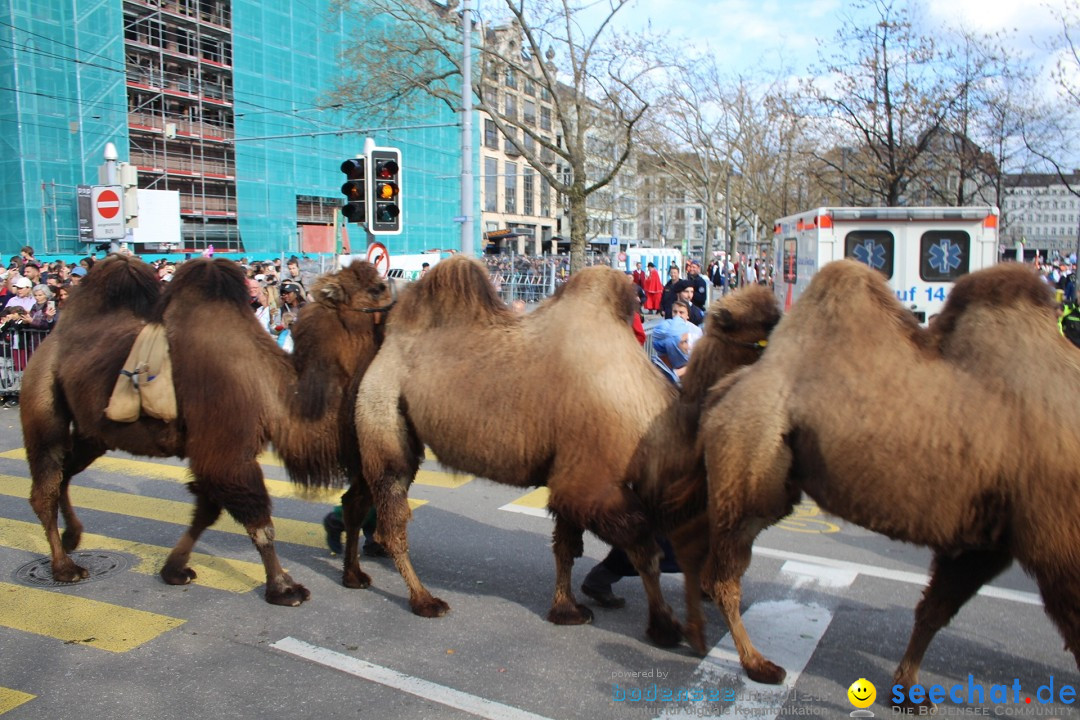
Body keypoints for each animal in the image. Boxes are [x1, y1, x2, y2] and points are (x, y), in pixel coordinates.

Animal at [23, 255, 393, 604]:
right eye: (377, 288)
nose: (396, 303)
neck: (274, 389)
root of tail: (50, 339)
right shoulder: (228, 450)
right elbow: (260, 522)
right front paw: (284, 588)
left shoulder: (215, 454)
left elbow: (205, 512)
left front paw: (174, 569)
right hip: (44, 404)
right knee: (45, 482)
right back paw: (65, 567)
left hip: (94, 433)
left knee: (64, 473)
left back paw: (73, 537)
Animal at [356, 255, 786, 651]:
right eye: (765, 336)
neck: (650, 410)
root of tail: (389, 334)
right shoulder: (591, 480)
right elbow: (643, 549)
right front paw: (664, 627)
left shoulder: (571, 470)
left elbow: (566, 546)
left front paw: (567, 609)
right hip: (382, 408)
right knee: (394, 515)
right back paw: (423, 600)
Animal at [695, 259, 1075, 708]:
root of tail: (723, 393)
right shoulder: (1055, 545)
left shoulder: (988, 540)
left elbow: (934, 608)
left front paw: (908, 691)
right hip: (751, 464)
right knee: (725, 576)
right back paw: (758, 664)